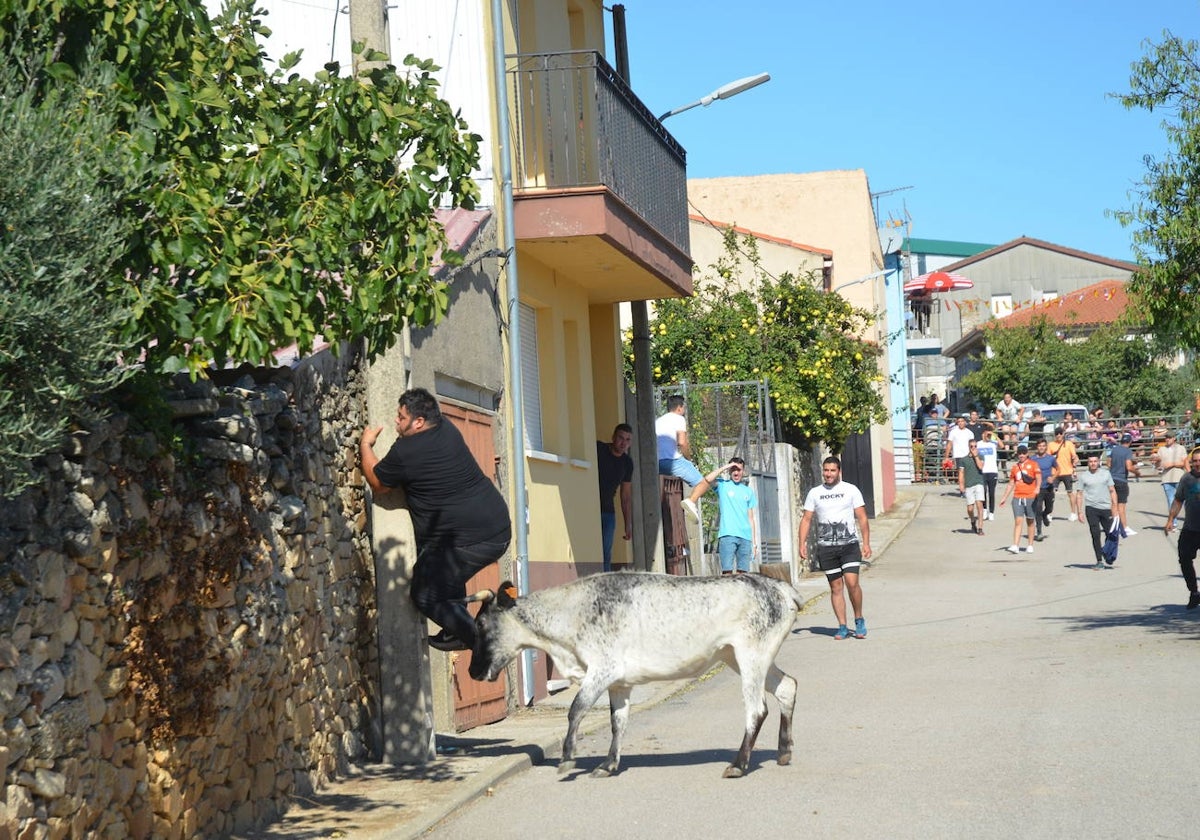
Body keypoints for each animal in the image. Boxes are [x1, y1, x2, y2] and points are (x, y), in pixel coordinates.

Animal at [463, 573, 801, 777]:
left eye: (480, 624)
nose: (472, 671)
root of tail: (779, 586)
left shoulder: (602, 669)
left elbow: (576, 709)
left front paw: (567, 758)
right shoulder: (619, 683)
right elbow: (618, 721)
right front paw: (608, 764)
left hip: (750, 656)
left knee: (756, 709)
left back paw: (738, 764)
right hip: (741, 657)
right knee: (787, 687)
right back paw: (784, 752)